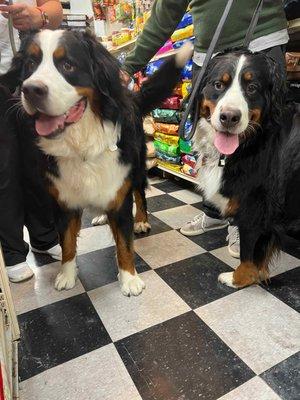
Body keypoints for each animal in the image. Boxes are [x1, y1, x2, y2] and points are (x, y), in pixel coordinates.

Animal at [0, 29, 192, 296]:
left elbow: (124, 244)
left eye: (68, 65)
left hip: (137, 168)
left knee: (140, 194)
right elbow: (67, 243)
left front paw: (129, 278)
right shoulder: (63, 201)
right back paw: (101, 217)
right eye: (30, 65)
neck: (81, 144)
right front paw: (67, 274)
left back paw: (141, 221)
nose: (30, 90)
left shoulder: (120, 192)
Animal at [193, 48, 298, 290]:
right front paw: (255, 275)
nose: (229, 117)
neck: (255, 141)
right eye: (218, 85)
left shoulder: (254, 211)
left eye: (252, 88)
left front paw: (238, 279)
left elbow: (247, 255)